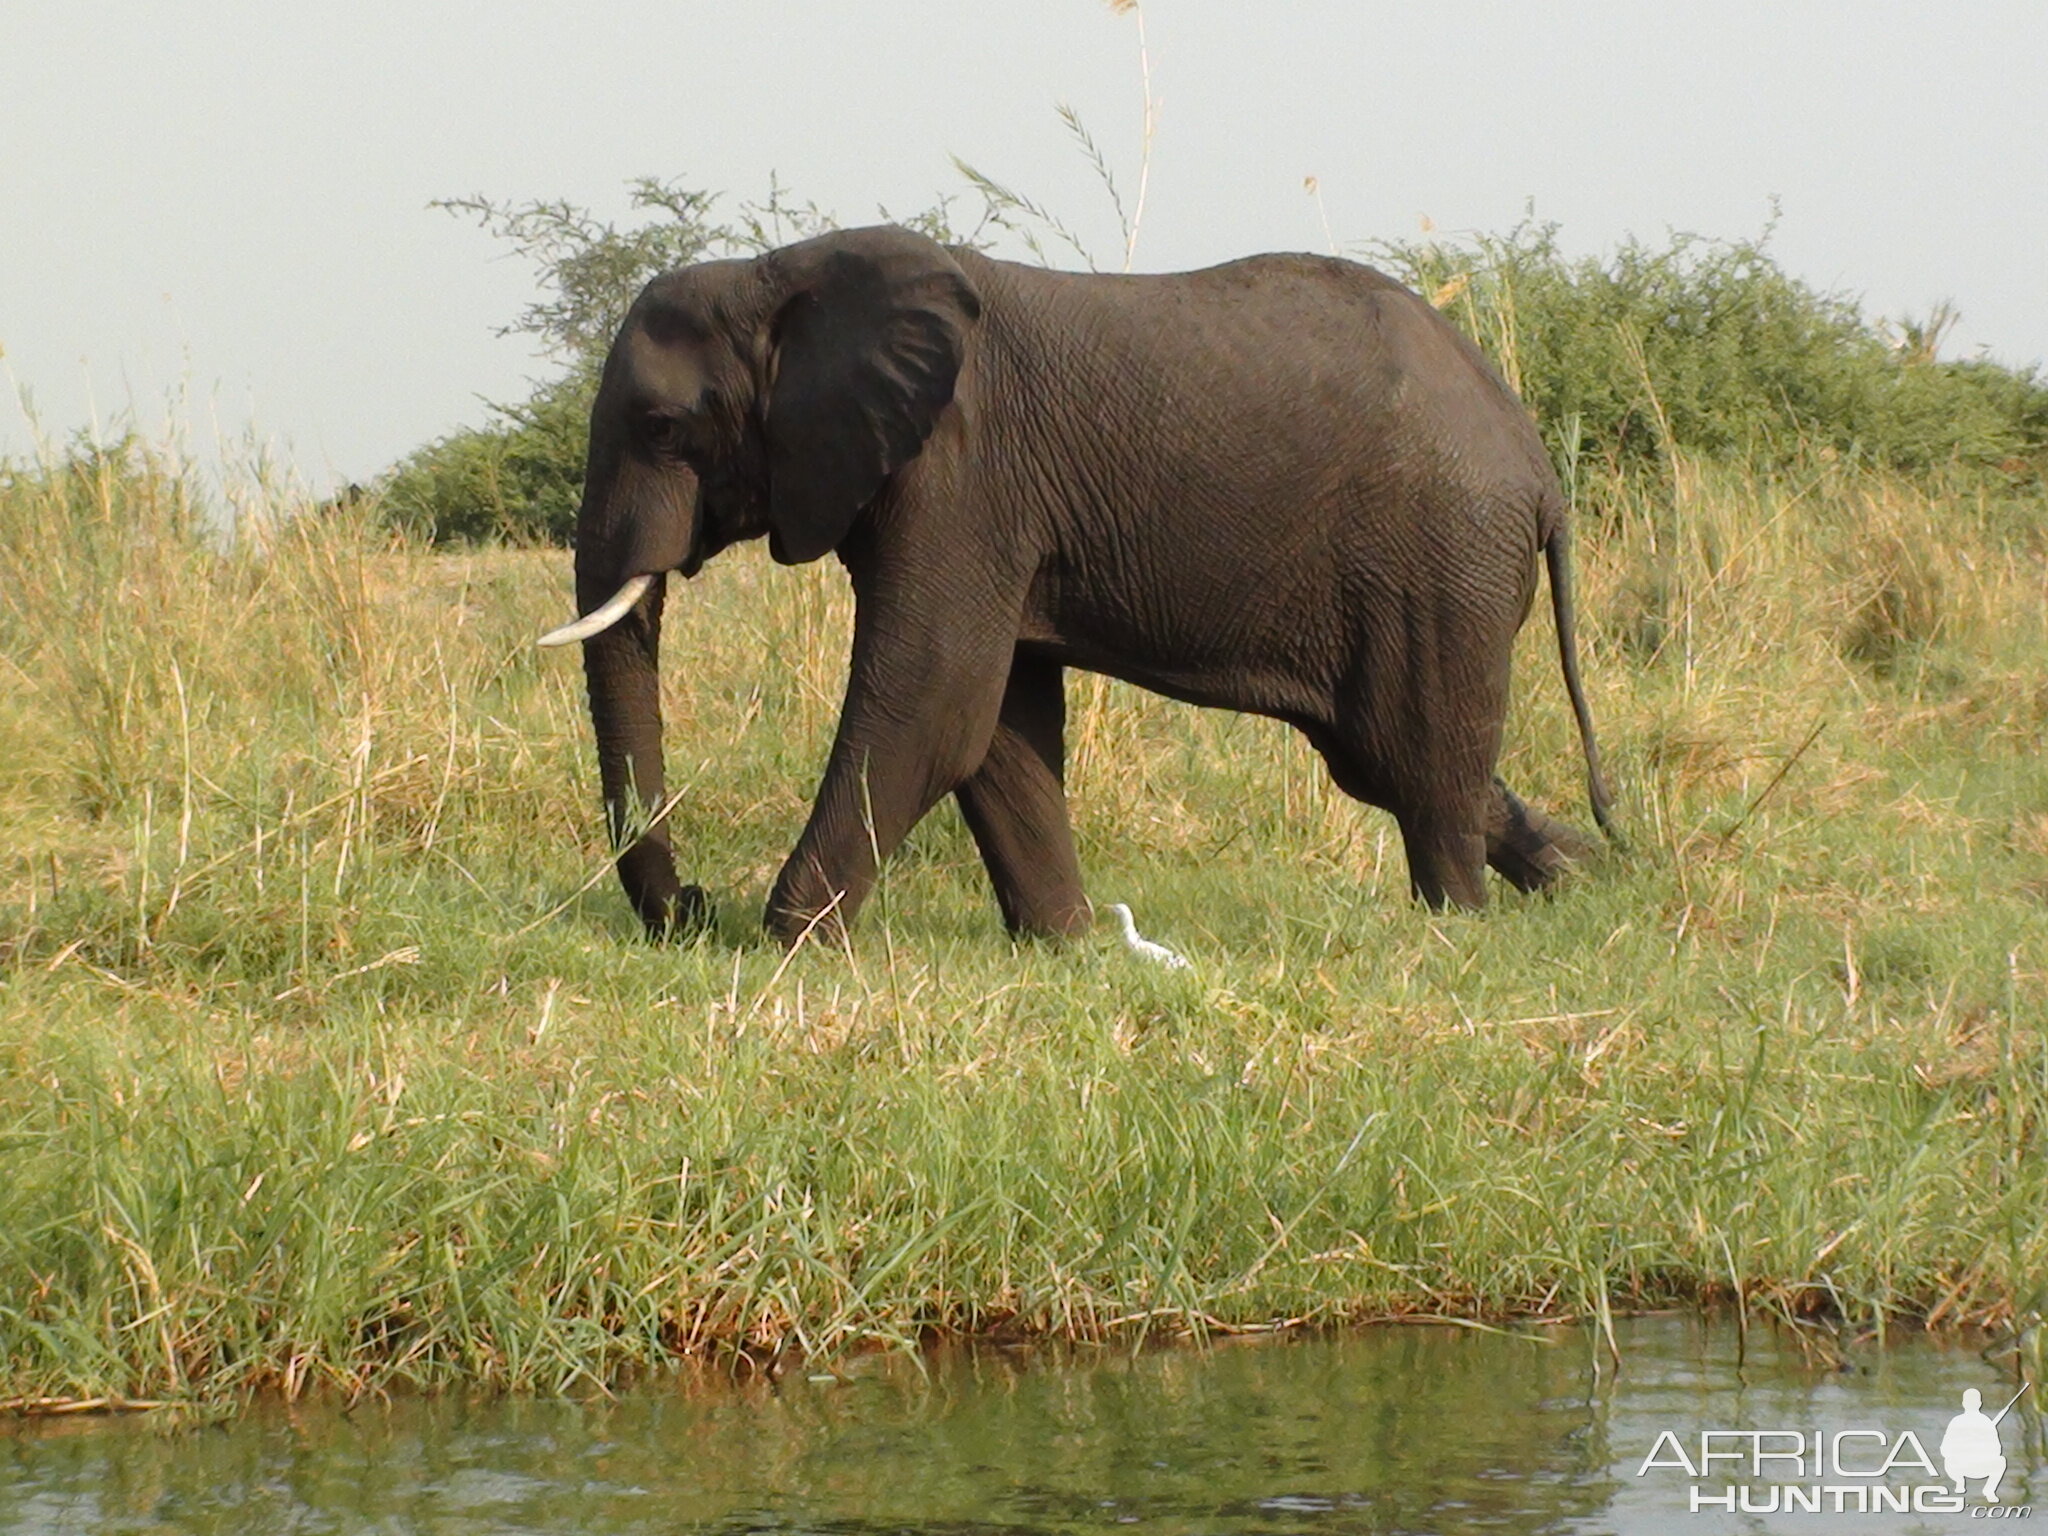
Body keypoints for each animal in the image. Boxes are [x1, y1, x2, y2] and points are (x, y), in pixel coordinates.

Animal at [540, 225, 1613, 950]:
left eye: (662, 428)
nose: (689, 908)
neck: (777, 277)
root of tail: (1536, 466)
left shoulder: (963, 473)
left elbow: (934, 695)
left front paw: (789, 940)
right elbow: (997, 719)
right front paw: (1067, 945)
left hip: (1442, 561)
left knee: (1421, 753)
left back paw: (1458, 924)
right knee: (1387, 754)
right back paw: (1587, 878)